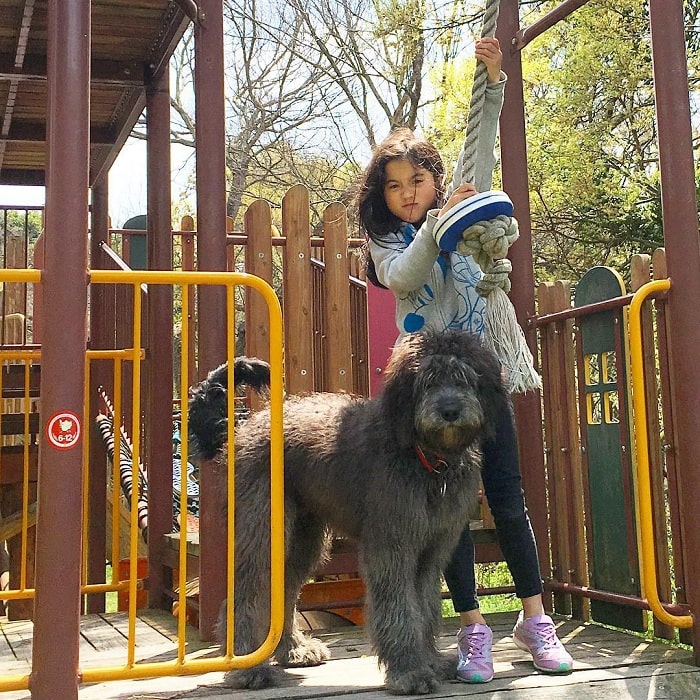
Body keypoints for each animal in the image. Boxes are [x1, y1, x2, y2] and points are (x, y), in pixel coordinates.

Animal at [187, 328, 508, 696]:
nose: (450, 410)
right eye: (428, 381)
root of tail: (243, 428)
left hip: (302, 539)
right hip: (263, 530)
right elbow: (399, 608)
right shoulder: (391, 547)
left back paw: (293, 650)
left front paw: (429, 660)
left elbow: (425, 608)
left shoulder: (431, 552)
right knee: (247, 593)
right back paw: (248, 669)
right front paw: (409, 672)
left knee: (284, 587)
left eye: (465, 379)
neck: (424, 456)